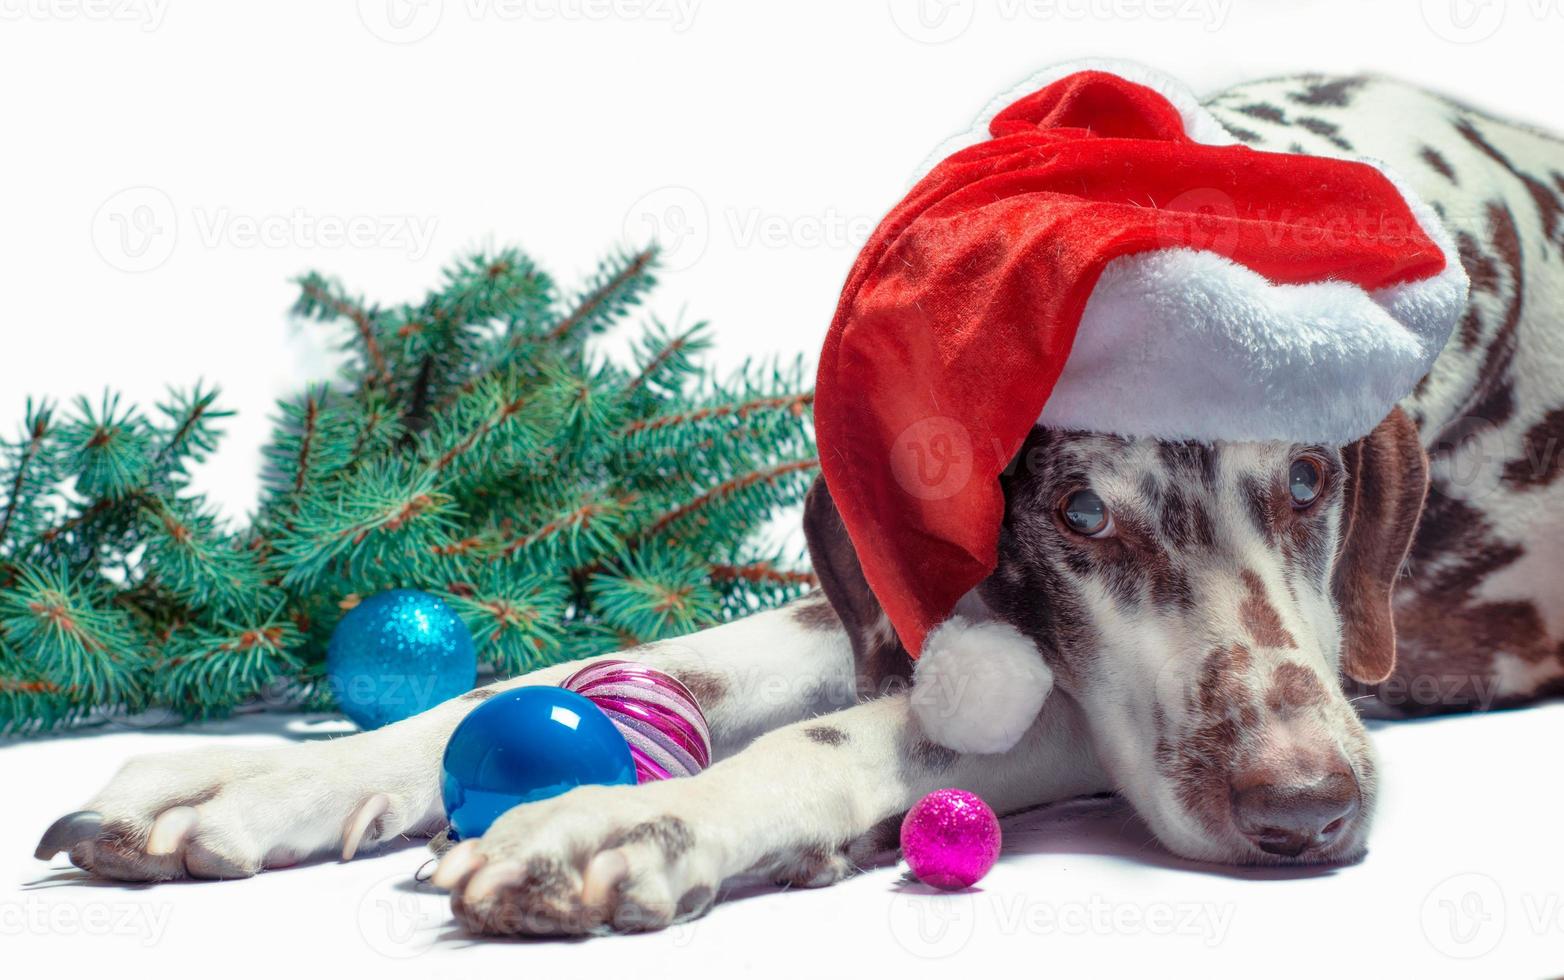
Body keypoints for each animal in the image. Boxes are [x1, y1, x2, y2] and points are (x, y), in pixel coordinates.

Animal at [33, 74, 1564, 937]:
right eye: (1081, 516)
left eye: (1307, 480)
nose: (1308, 812)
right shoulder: (899, 600)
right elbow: (626, 667)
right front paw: (249, 780)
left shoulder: (1332, 668)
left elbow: (870, 730)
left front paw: (627, 822)